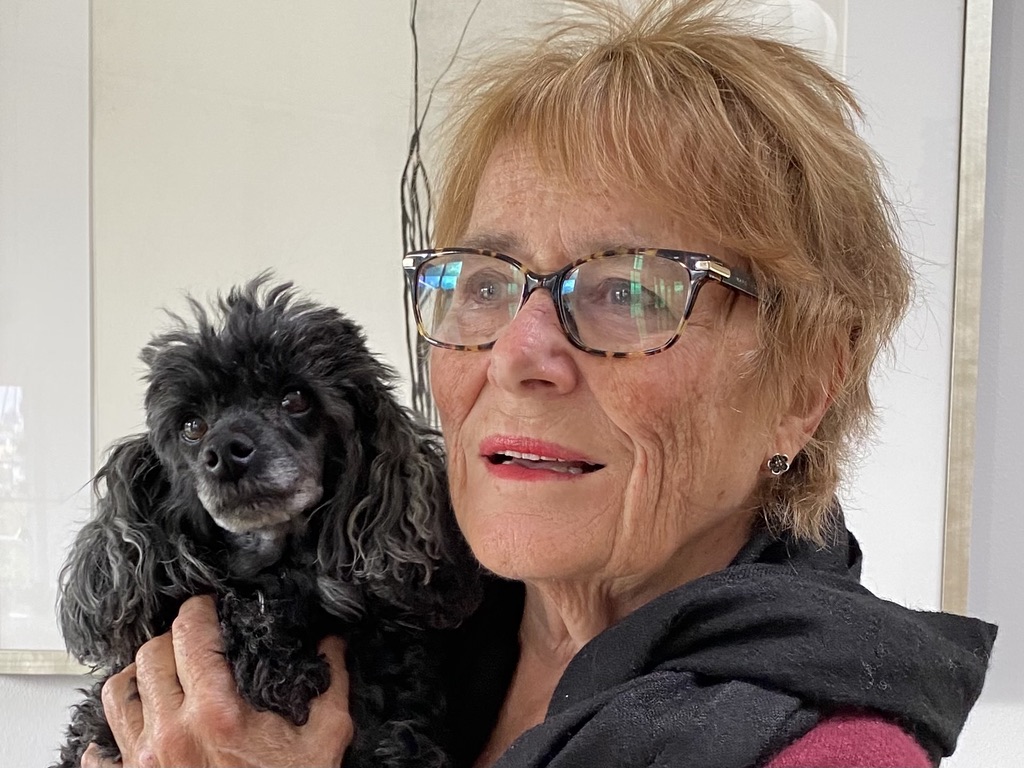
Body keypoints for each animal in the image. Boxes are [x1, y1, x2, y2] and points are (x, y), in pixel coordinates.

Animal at [54, 276, 482, 768]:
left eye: (295, 398)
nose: (224, 454)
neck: (278, 568)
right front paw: (267, 655)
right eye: (192, 426)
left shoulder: (398, 729)